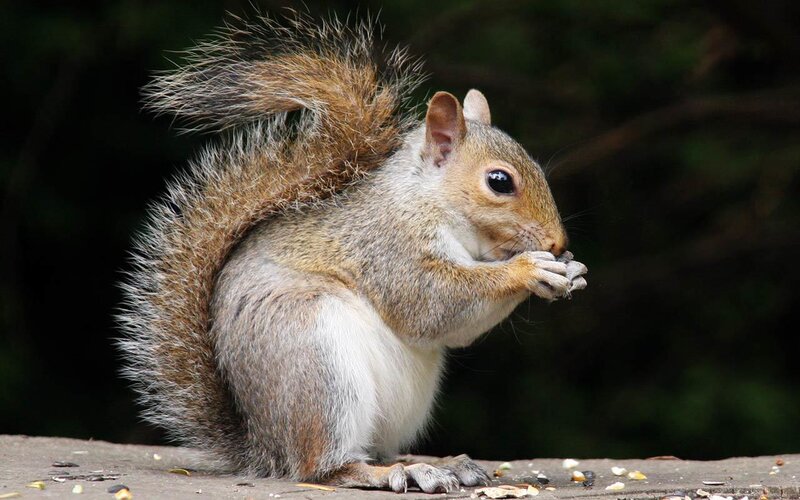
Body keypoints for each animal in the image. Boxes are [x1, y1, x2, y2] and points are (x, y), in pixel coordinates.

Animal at [117, 12, 587, 494]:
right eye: (499, 181)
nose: (557, 243)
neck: (426, 199)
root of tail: (264, 446)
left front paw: (570, 272)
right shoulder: (387, 245)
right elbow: (432, 304)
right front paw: (529, 269)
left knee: (376, 448)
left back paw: (439, 464)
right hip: (317, 364)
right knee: (324, 467)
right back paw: (389, 472)